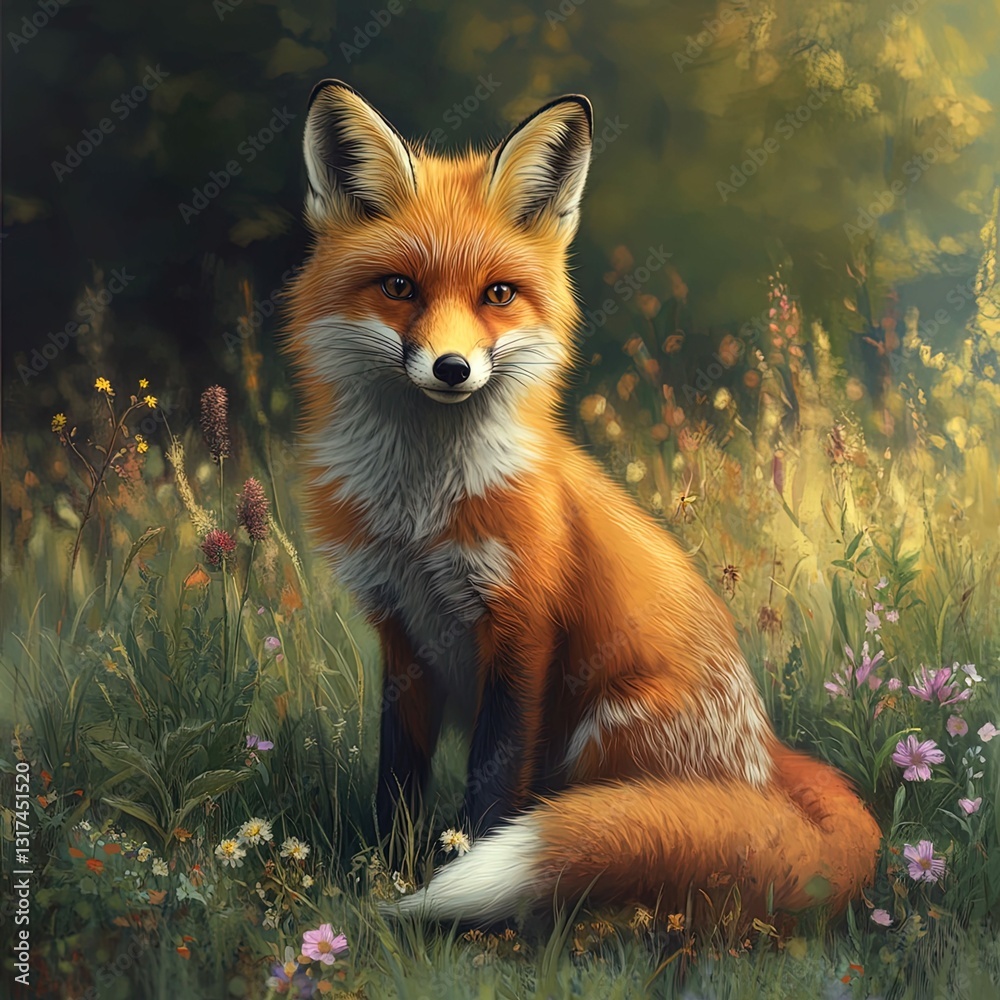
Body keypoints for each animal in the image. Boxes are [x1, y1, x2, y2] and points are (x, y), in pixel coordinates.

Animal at [282, 79, 882, 925]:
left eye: (498, 294)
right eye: (400, 288)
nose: (453, 368)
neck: (422, 513)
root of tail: (766, 755)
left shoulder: (522, 625)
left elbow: (494, 784)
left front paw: (456, 894)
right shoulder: (400, 631)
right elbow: (397, 780)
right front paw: (385, 873)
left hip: (603, 734)